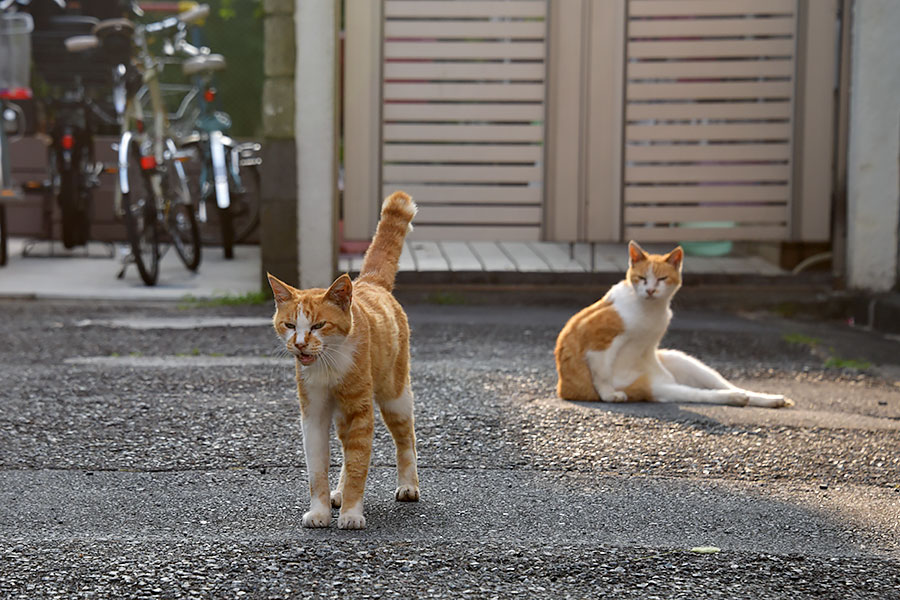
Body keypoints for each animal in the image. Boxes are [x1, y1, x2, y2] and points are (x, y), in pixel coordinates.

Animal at [268, 192, 422, 528]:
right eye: (289, 325)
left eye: (318, 325)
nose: (300, 344)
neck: (328, 367)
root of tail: (370, 282)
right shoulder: (313, 413)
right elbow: (318, 470)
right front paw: (321, 510)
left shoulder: (360, 411)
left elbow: (358, 464)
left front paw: (352, 513)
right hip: (341, 417)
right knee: (345, 447)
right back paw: (337, 494)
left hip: (394, 396)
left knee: (405, 439)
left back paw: (408, 485)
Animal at [552, 239, 792, 408]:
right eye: (641, 278)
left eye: (661, 279)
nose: (650, 290)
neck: (651, 310)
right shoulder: (596, 340)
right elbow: (601, 372)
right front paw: (609, 394)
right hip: (659, 387)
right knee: (703, 394)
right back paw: (736, 398)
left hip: (684, 361)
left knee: (724, 385)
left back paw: (770, 399)